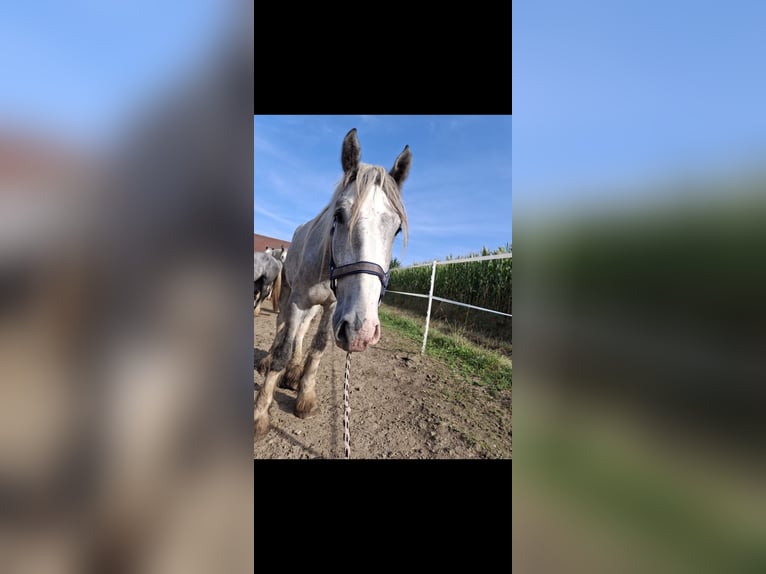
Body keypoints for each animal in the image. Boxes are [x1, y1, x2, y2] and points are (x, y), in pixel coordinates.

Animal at [256, 129, 414, 440]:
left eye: (397, 228)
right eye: (339, 215)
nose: (361, 331)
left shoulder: (331, 306)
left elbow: (317, 346)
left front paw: (305, 395)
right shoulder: (298, 300)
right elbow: (283, 349)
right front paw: (260, 413)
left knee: (301, 332)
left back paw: (294, 371)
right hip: (289, 295)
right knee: (283, 328)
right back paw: (270, 361)